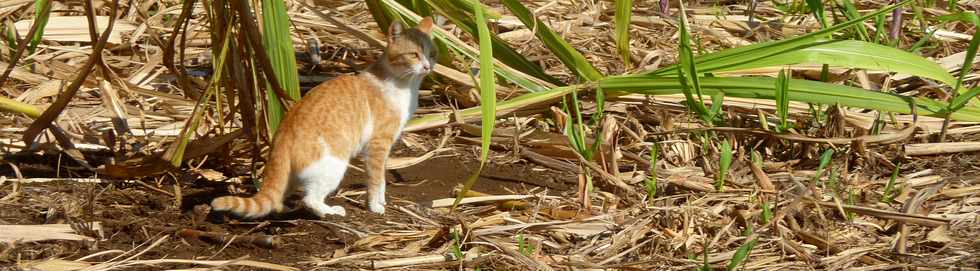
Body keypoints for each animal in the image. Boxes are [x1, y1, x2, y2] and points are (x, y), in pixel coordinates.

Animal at [212, 17, 438, 220]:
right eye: (414, 55)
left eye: (431, 54)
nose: (427, 66)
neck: (405, 85)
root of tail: (282, 134)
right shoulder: (378, 145)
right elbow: (376, 179)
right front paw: (375, 206)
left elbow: (382, 177)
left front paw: (382, 201)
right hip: (334, 166)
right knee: (309, 199)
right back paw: (329, 212)